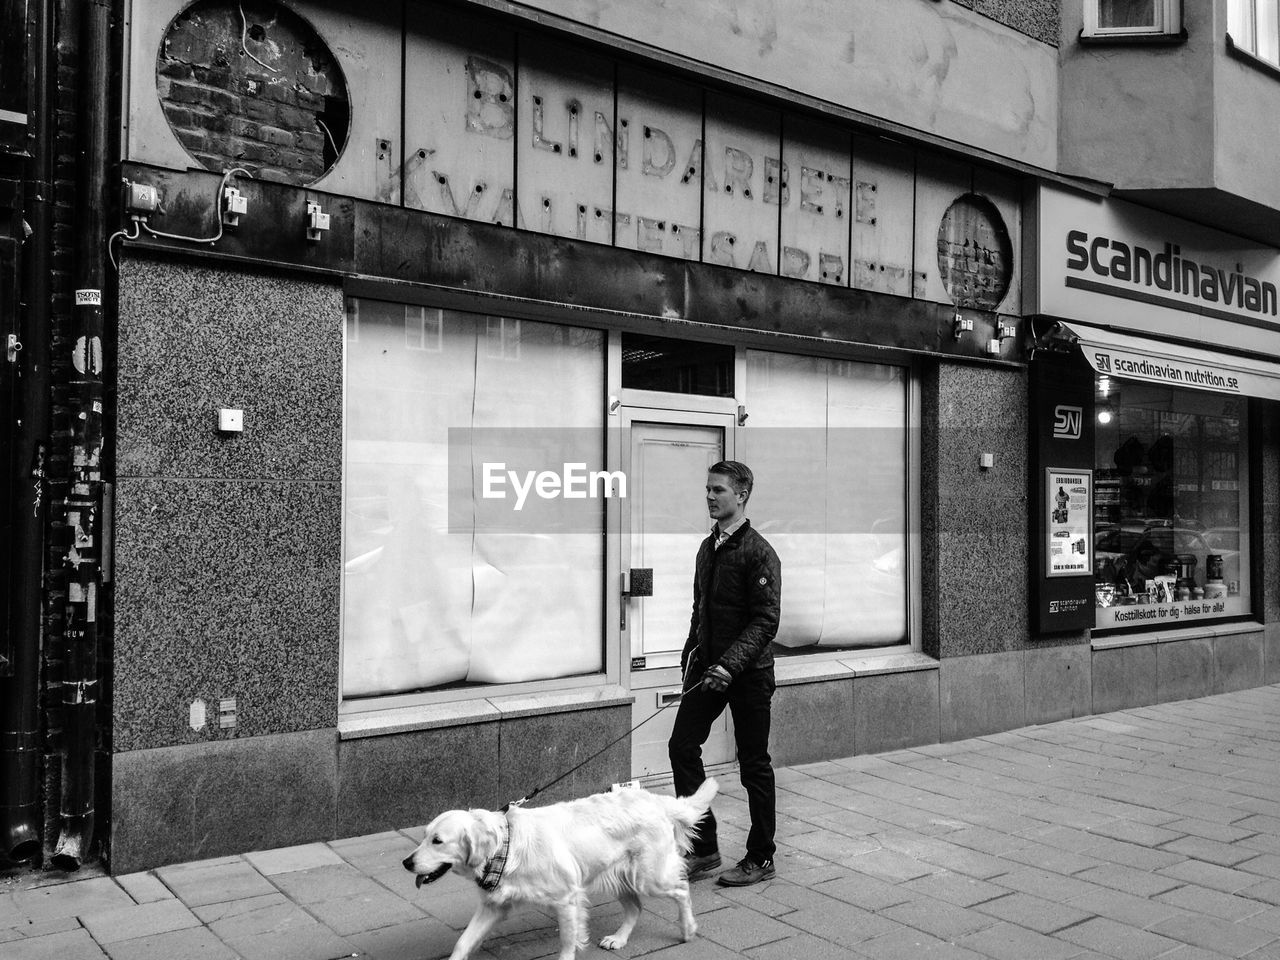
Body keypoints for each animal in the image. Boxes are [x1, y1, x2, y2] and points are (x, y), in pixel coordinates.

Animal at [401, 783, 716, 960]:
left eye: (437, 841)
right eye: (424, 836)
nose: (406, 863)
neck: (507, 847)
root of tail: (656, 799)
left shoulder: (566, 899)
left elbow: (567, 943)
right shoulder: (493, 907)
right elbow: (462, 942)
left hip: (649, 876)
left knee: (681, 890)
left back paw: (688, 929)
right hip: (616, 875)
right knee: (636, 907)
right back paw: (619, 938)